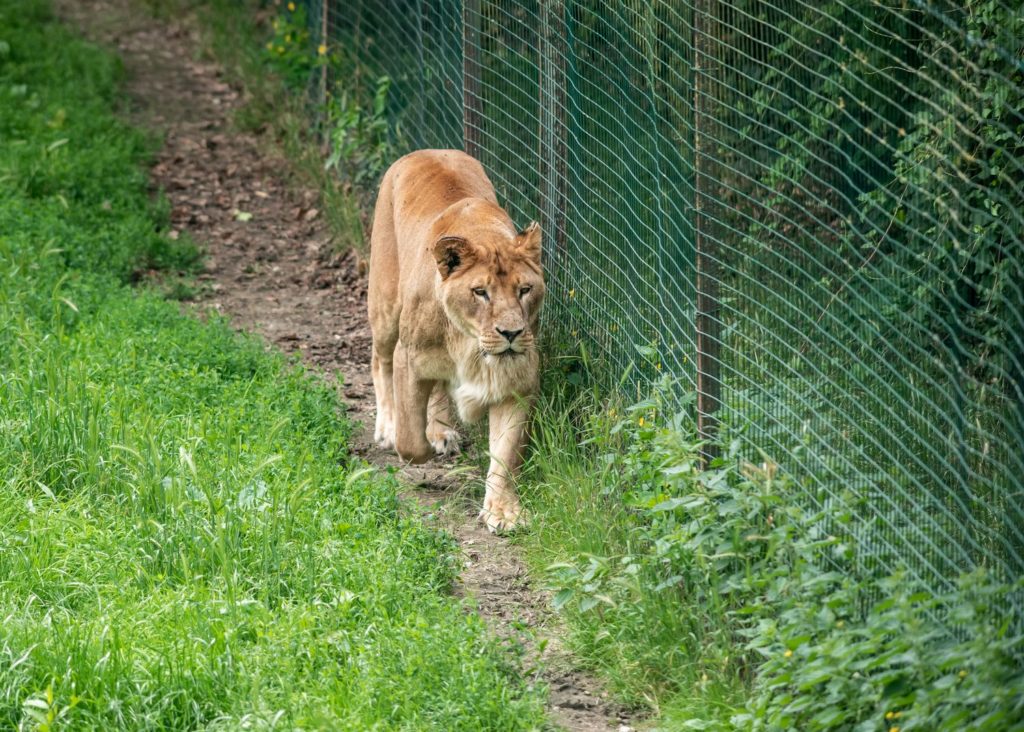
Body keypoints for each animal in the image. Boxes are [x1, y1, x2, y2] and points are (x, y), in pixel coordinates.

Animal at [368, 147, 544, 532]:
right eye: (480, 292)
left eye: (525, 290)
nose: (511, 333)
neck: (470, 344)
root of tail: (425, 151)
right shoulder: (408, 358)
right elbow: (411, 442)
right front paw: (415, 441)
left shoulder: (518, 382)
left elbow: (505, 456)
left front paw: (503, 511)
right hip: (385, 307)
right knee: (379, 360)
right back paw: (388, 427)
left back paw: (439, 428)